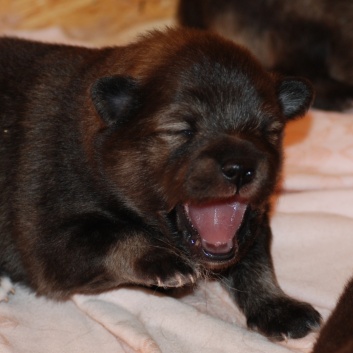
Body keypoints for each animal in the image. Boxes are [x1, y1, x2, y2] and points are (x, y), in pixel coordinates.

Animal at [0, 28, 320, 340]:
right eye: (182, 130)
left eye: (268, 131)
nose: (240, 169)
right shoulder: (50, 239)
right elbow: (117, 236)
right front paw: (162, 258)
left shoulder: (254, 221)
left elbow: (256, 260)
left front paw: (278, 306)